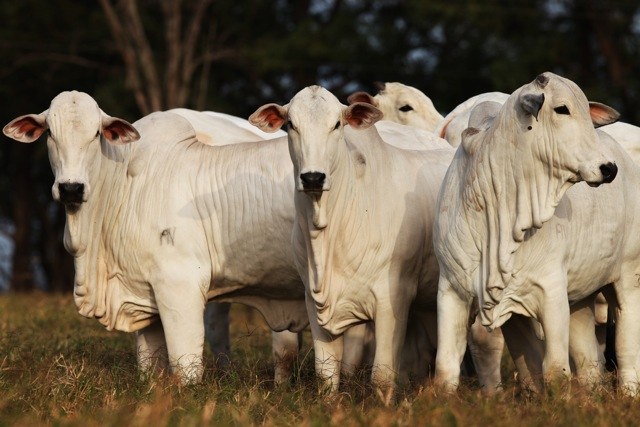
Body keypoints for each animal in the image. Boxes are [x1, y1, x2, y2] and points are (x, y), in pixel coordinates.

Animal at [249, 85, 454, 402]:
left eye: (337, 124)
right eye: (291, 124)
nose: (313, 178)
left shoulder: (393, 299)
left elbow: (382, 375)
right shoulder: (314, 302)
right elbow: (326, 375)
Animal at [431, 72, 640, 394]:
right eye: (562, 109)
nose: (608, 168)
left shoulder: (551, 291)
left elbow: (555, 370)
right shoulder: (451, 291)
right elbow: (445, 372)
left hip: (628, 277)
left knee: (628, 341)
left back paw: (629, 394)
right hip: (579, 298)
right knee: (588, 358)